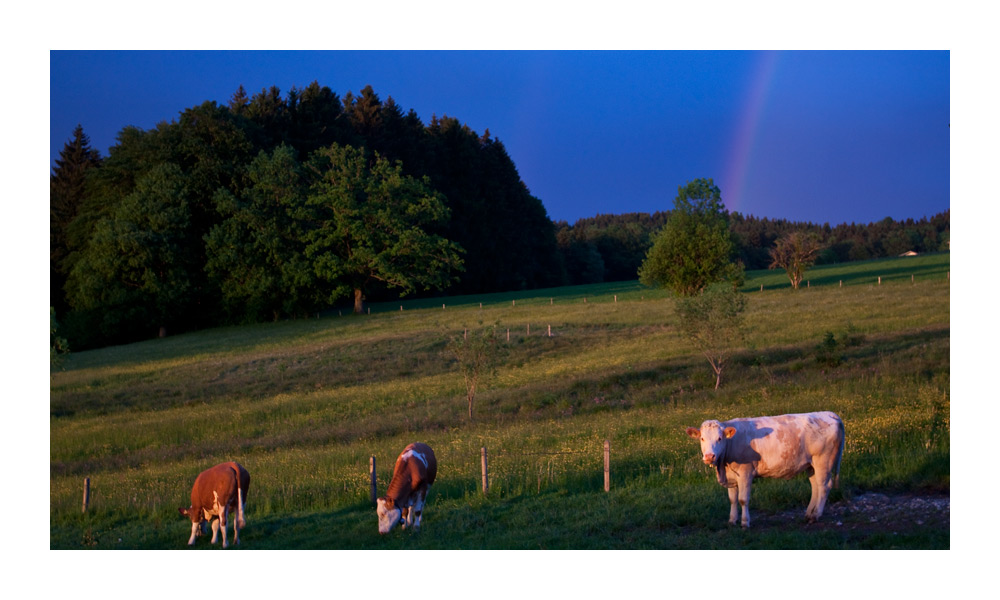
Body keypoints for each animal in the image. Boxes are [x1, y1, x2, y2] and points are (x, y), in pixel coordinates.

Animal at [684, 410, 840, 528]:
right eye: (702, 438)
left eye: (720, 438)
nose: (709, 456)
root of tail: (829, 414)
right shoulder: (731, 477)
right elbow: (732, 499)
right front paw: (732, 520)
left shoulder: (745, 473)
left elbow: (742, 499)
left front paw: (745, 523)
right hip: (811, 465)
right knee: (815, 486)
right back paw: (809, 514)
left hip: (823, 461)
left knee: (824, 486)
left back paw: (816, 515)